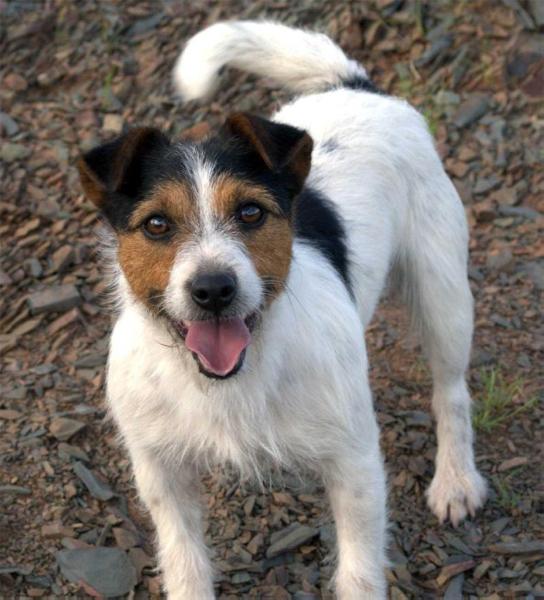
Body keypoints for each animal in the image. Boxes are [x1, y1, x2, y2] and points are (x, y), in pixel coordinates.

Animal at [75, 19, 484, 600]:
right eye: (156, 224)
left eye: (250, 212)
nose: (213, 289)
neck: (229, 381)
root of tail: (357, 87)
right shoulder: (161, 472)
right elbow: (185, 562)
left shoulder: (355, 462)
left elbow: (359, 572)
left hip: (442, 293)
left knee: (451, 391)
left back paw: (455, 480)